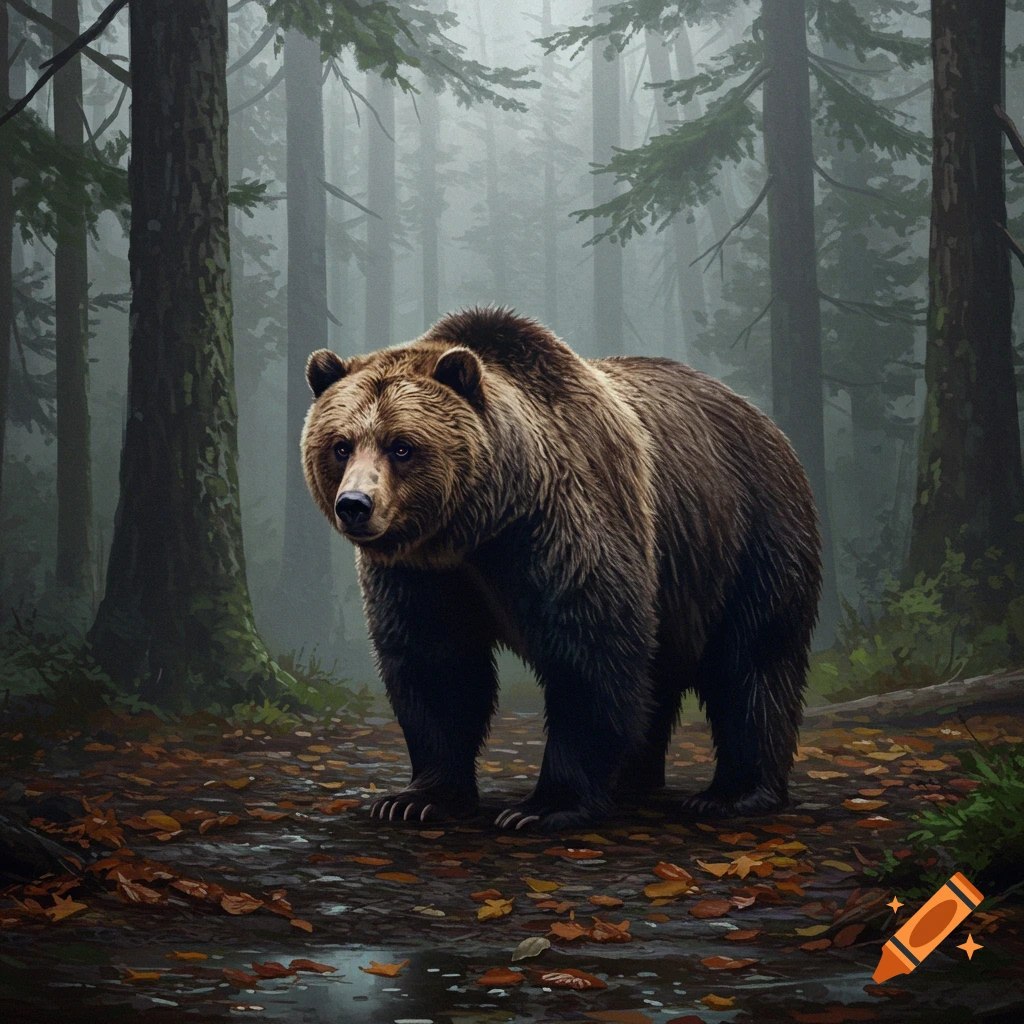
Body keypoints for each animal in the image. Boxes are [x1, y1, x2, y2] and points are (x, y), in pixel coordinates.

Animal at [301, 307, 821, 831]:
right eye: (341, 445)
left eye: (402, 446)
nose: (355, 505)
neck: (479, 527)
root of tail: (762, 418)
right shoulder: (423, 574)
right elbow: (435, 664)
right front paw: (416, 798)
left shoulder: (561, 527)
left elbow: (590, 652)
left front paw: (543, 806)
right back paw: (633, 778)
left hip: (747, 537)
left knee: (752, 662)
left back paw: (733, 794)